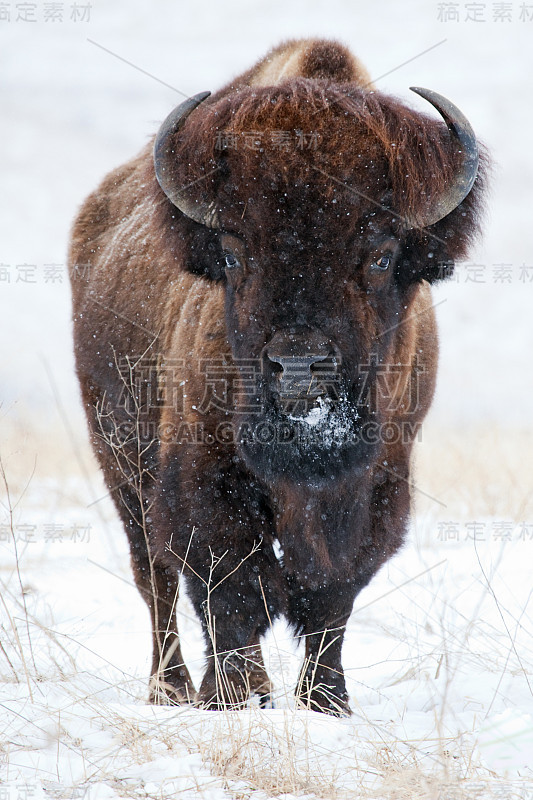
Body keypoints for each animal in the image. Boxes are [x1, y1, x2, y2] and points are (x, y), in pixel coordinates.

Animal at [69, 37, 486, 716]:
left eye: (381, 256)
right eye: (234, 253)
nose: (298, 365)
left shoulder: (377, 489)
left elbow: (332, 603)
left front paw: (328, 702)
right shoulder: (203, 484)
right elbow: (231, 591)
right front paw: (239, 697)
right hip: (121, 465)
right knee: (154, 577)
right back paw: (173, 689)